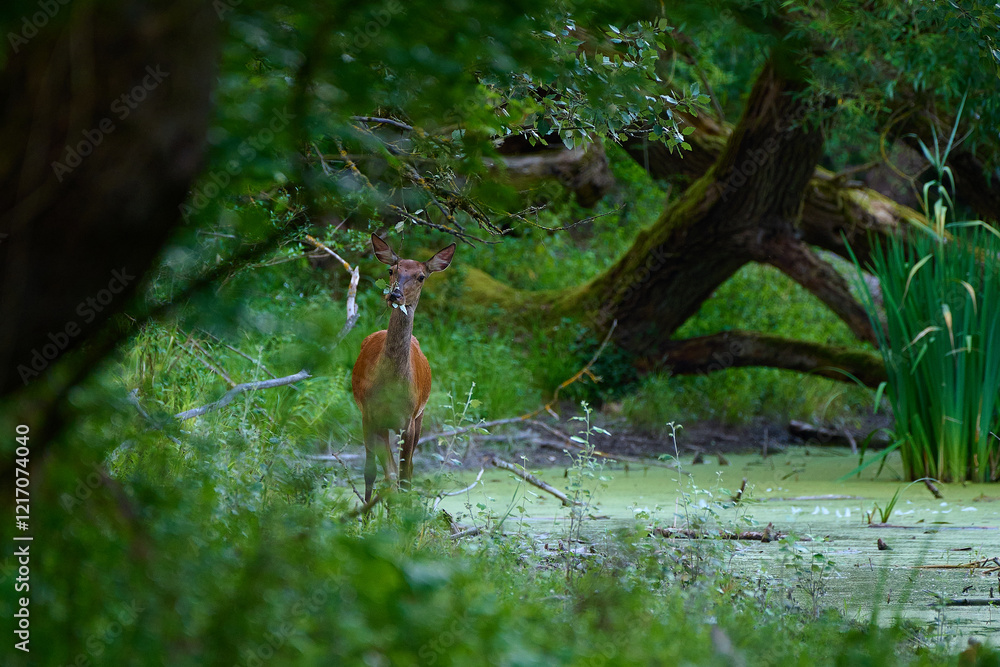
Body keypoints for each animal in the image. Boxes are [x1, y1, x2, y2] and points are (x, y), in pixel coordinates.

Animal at [351, 233, 456, 502]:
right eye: (392, 270)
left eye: (421, 276)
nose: (395, 295)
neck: (391, 385)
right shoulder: (370, 414)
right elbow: (379, 474)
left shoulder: (407, 420)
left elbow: (404, 476)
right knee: (377, 471)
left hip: (420, 416)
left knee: (407, 470)